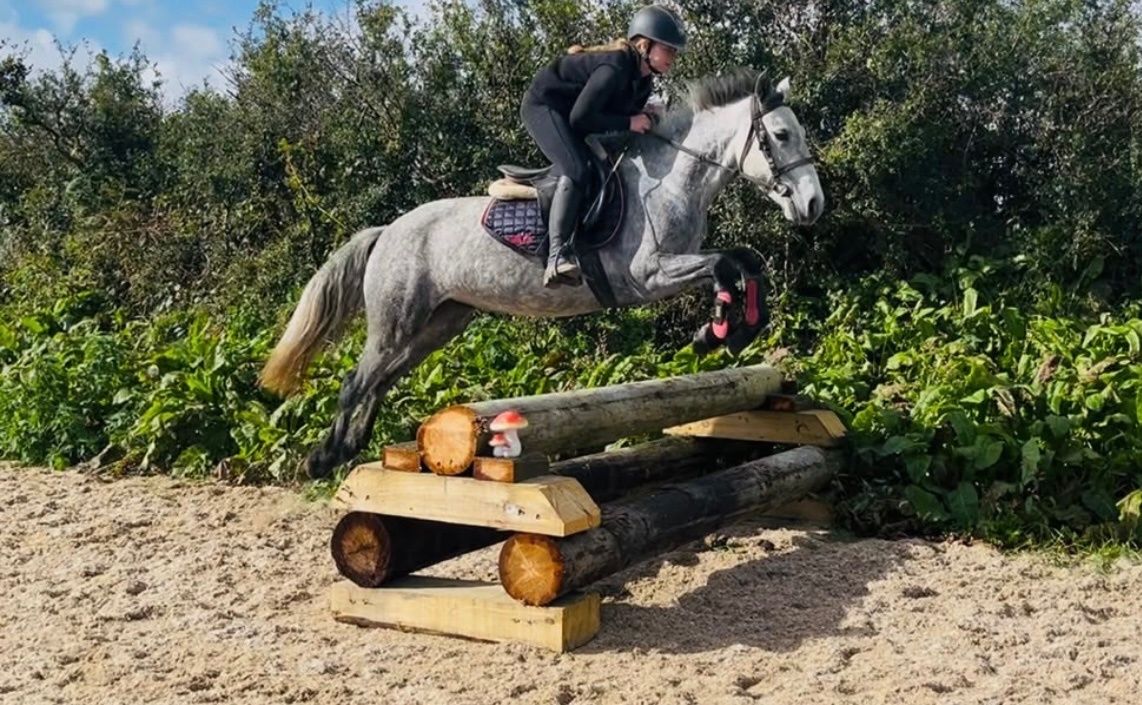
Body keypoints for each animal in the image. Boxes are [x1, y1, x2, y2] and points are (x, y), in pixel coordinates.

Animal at [258, 66, 825, 480]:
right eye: (779, 134)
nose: (814, 204)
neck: (671, 180)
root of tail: (388, 230)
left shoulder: (676, 266)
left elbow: (745, 262)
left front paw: (731, 330)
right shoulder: (648, 276)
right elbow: (726, 265)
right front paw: (718, 332)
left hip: (439, 324)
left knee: (379, 379)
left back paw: (351, 447)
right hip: (398, 320)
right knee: (358, 379)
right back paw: (322, 459)